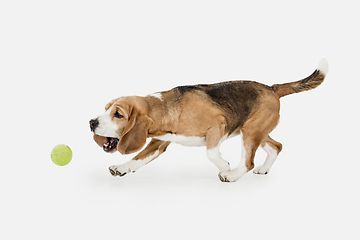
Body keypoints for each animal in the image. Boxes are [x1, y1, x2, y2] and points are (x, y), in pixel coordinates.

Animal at [88, 59, 328, 182]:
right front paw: (122, 167)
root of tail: (271, 87)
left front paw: (225, 166)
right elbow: (138, 158)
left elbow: (211, 153)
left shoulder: (217, 125)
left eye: (118, 114)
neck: (166, 107)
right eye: (106, 108)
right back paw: (264, 169)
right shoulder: (159, 142)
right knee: (276, 146)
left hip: (250, 131)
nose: (91, 122)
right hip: (254, 130)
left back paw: (232, 175)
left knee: (248, 161)